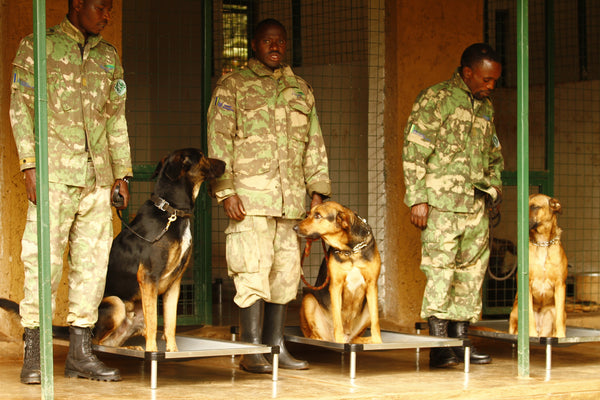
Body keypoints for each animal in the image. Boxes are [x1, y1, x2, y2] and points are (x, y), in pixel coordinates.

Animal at [95, 148, 226, 352]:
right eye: (202, 156)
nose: (226, 164)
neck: (172, 212)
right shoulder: (148, 277)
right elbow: (153, 323)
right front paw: (153, 352)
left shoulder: (175, 283)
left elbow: (170, 323)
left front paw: (173, 350)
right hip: (116, 303)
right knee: (96, 342)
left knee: (111, 342)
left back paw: (130, 348)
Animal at [292, 202, 382, 346]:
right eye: (309, 214)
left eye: (318, 216)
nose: (294, 227)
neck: (350, 251)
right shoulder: (336, 286)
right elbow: (338, 321)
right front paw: (339, 341)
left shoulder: (372, 285)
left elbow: (376, 322)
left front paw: (379, 342)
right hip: (308, 301)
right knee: (313, 336)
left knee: (356, 337)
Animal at [510, 194, 568, 338]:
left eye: (535, 207)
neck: (542, 243)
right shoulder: (527, 286)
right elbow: (529, 316)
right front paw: (531, 334)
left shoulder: (560, 285)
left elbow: (559, 317)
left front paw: (561, 336)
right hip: (515, 308)